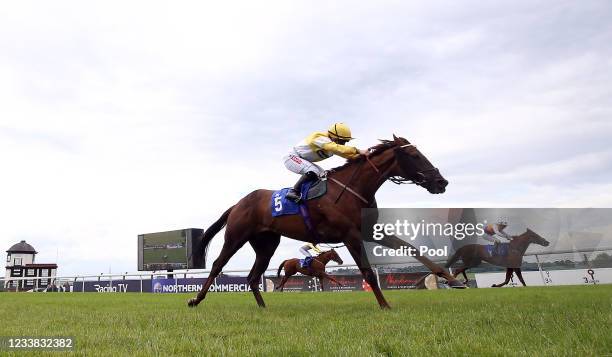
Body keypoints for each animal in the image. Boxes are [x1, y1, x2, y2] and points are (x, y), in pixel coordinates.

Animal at [189, 134, 462, 308]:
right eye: (415, 155)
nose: (442, 182)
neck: (353, 189)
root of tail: (238, 203)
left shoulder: (369, 230)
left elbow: (410, 248)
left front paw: (452, 279)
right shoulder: (350, 235)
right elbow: (367, 271)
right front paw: (385, 305)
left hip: (266, 245)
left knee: (253, 277)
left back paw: (263, 307)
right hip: (236, 236)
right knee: (217, 265)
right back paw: (196, 300)